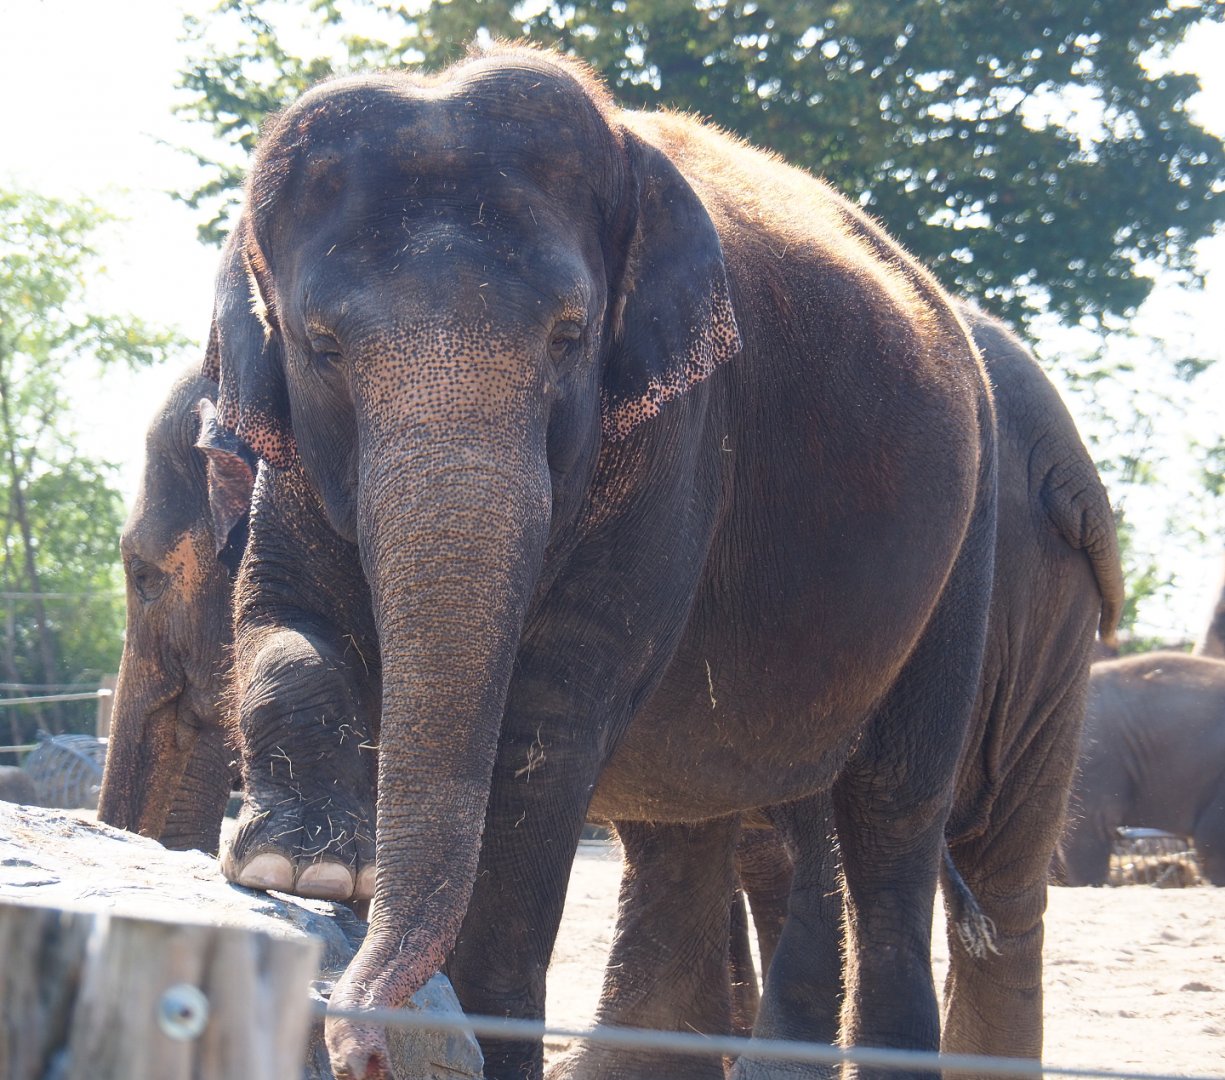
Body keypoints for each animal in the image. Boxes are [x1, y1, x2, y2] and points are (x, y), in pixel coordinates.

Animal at [212, 47, 1002, 1080]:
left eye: (569, 336)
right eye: (322, 346)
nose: (361, 1051)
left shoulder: (680, 429)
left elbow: (549, 720)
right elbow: (282, 617)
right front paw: (298, 868)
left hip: (969, 539)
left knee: (891, 811)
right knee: (687, 828)